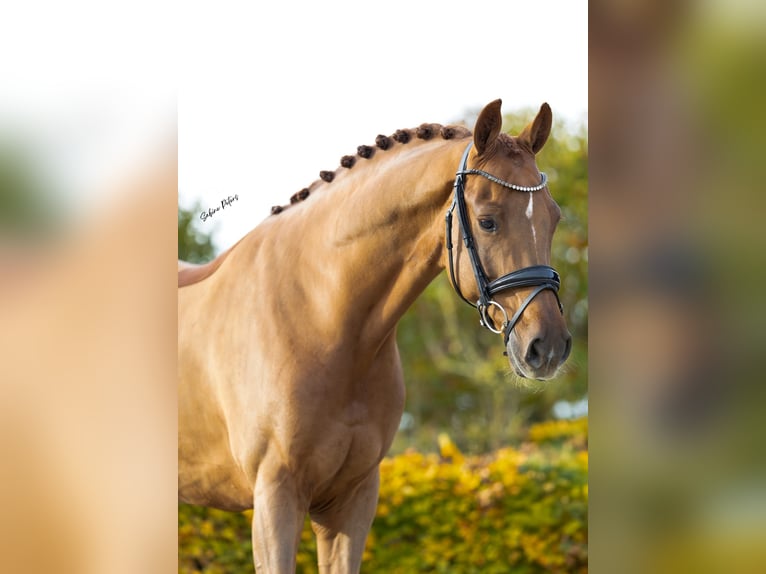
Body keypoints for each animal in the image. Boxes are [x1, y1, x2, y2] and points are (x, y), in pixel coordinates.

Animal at [178, 99, 571, 573]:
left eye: (554, 218)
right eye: (488, 221)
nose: (547, 347)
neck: (322, 320)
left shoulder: (353, 499)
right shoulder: (274, 498)